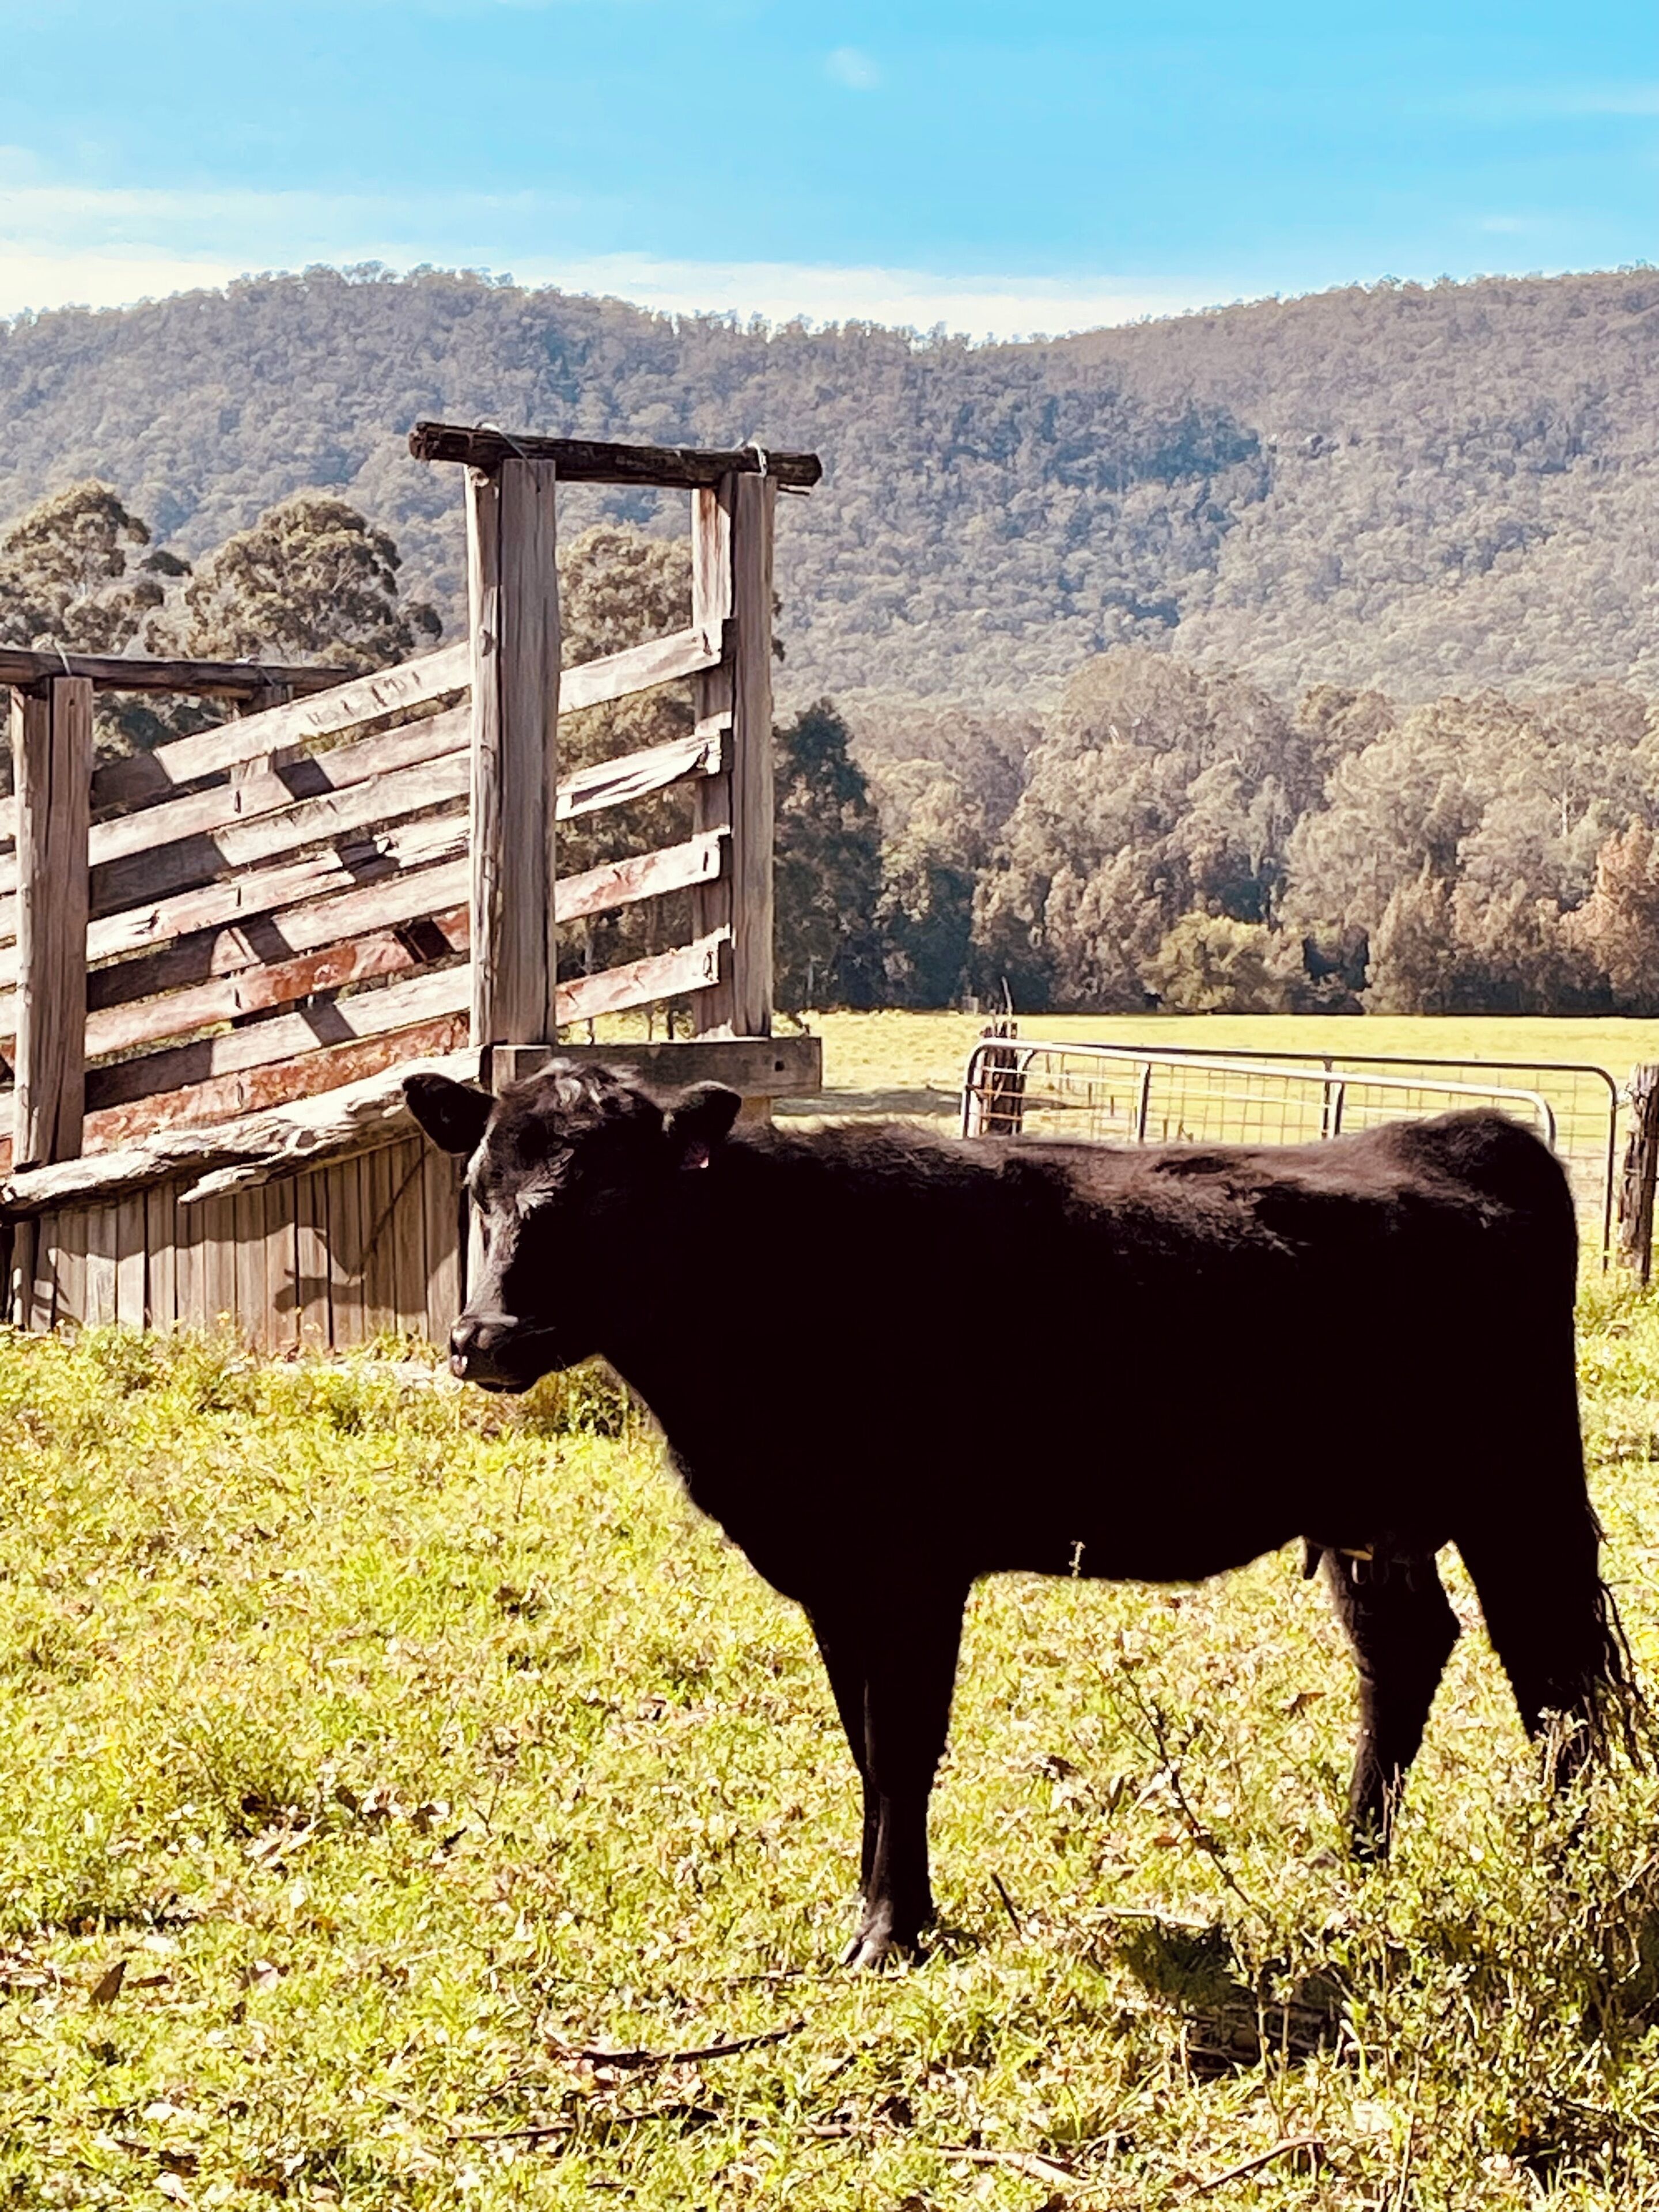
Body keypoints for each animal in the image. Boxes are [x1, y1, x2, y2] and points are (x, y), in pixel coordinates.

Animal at [404, 1061, 1639, 1969]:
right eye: (476, 1192)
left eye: (610, 1195)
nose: (483, 1339)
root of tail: (1469, 1133)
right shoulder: (833, 1575)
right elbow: (864, 1746)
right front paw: (887, 1911)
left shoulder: (911, 1567)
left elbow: (904, 1745)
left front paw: (890, 1933)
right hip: (1372, 1513)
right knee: (1408, 1650)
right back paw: (1359, 1855)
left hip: (1520, 1487)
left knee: (1557, 1676)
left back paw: (1569, 1867)